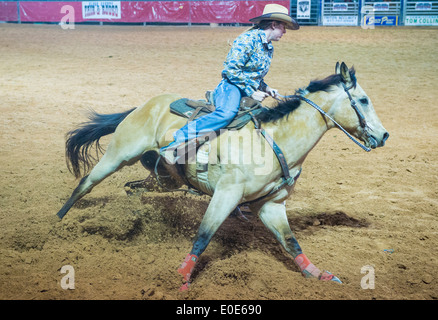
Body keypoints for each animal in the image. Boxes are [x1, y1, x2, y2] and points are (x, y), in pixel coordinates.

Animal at [55, 62, 390, 290]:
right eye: (363, 100)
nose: (384, 135)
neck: (274, 139)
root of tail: (143, 106)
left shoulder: (271, 205)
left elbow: (290, 242)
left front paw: (318, 274)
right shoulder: (226, 194)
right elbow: (203, 236)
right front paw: (181, 279)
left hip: (162, 179)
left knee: (133, 188)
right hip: (118, 155)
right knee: (85, 185)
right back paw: (57, 223)